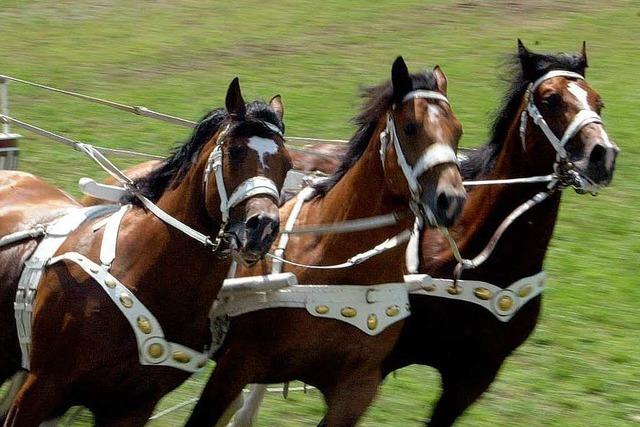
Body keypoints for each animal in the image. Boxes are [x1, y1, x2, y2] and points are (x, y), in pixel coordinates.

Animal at [0, 78, 292, 426]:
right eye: (235, 152)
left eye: (288, 164)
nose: (262, 227)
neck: (138, 273)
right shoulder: (42, 387)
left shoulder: (133, 406)